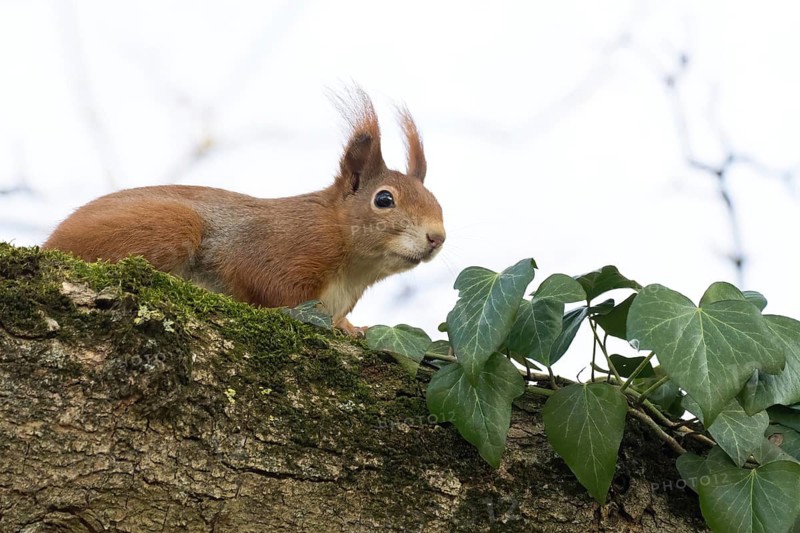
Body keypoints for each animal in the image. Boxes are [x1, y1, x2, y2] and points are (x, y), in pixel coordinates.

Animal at [42, 89, 445, 336]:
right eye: (384, 200)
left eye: (435, 199)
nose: (437, 237)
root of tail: (50, 243)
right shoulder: (285, 249)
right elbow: (272, 287)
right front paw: (340, 326)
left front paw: (352, 326)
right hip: (172, 224)